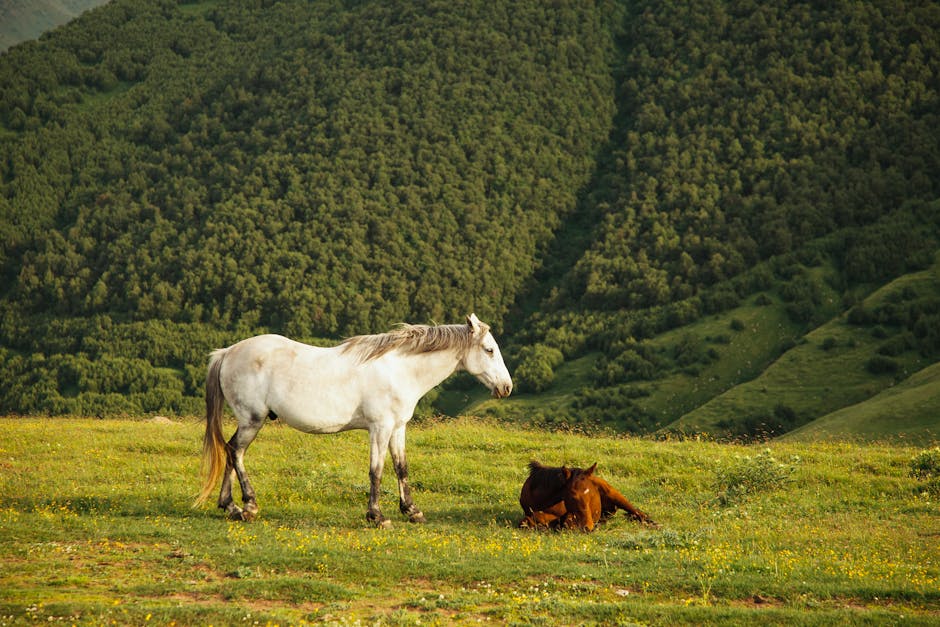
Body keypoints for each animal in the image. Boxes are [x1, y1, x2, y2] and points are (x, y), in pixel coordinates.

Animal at [193, 316, 516, 528]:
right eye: (489, 350)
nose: (507, 387)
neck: (400, 370)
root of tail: (227, 353)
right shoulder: (379, 428)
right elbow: (376, 470)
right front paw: (377, 516)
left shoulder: (397, 428)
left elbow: (401, 468)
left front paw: (412, 510)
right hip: (252, 420)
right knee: (235, 451)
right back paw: (247, 505)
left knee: (230, 451)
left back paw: (230, 506)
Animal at [516, 458, 656, 532]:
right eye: (572, 495)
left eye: (592, 494)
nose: (588, 527)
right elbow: (526, 522)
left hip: (617, 497)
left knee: (639, 513)